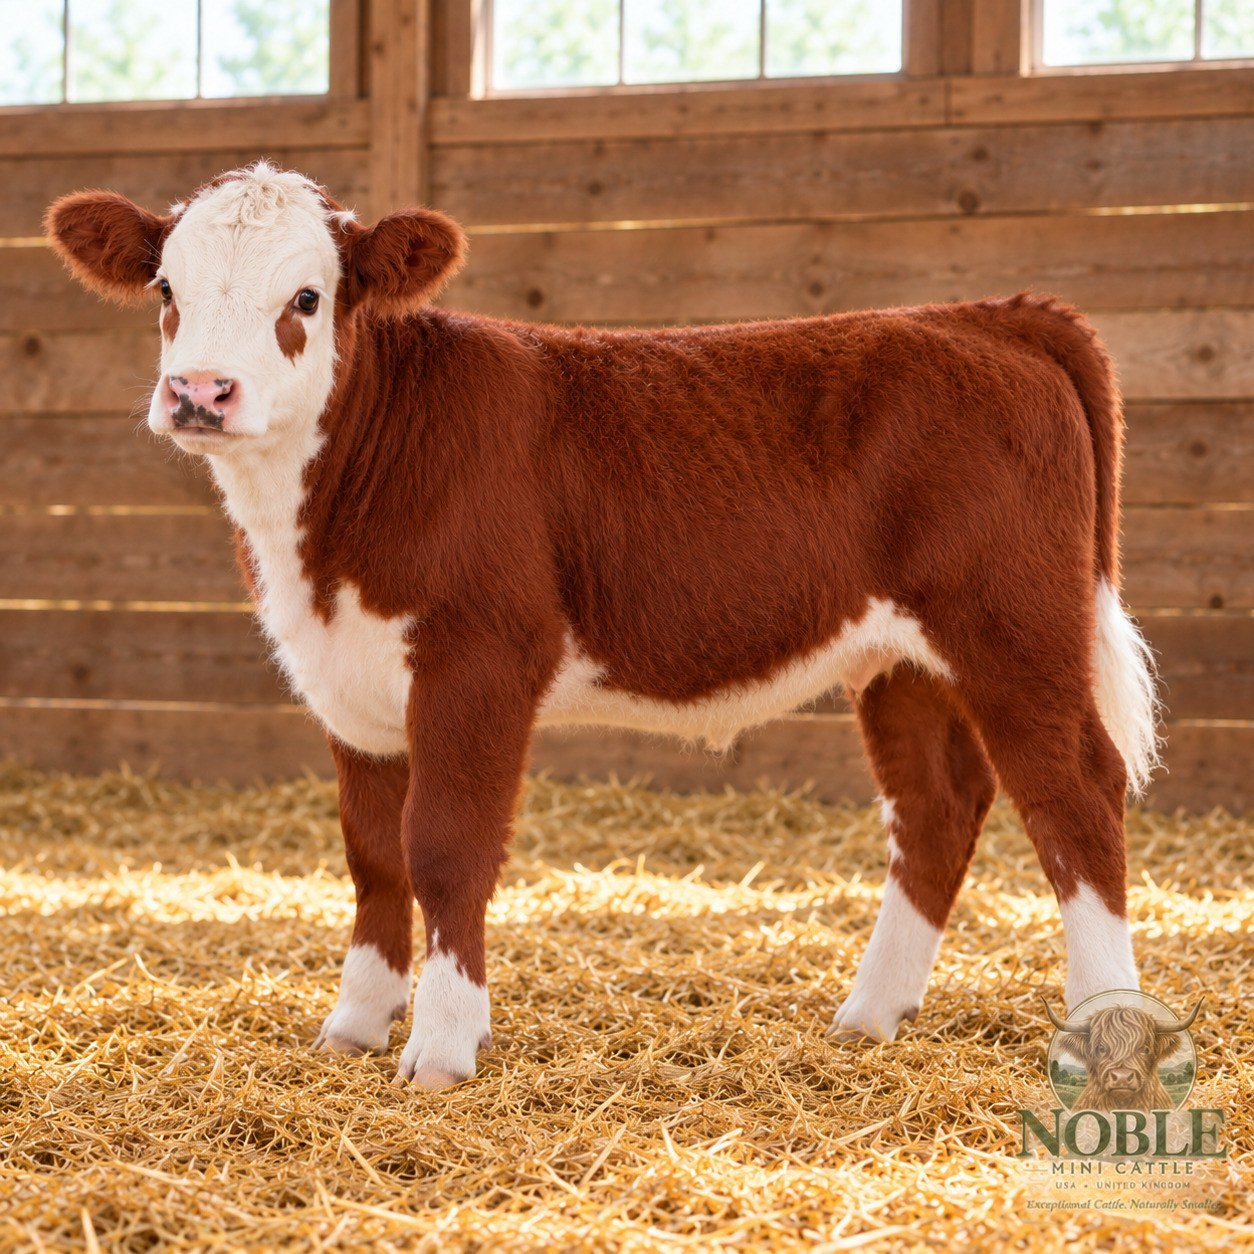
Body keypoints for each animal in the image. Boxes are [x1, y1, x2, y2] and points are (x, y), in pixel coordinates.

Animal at [46, 162, 1160, 1090]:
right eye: (166, 291)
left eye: (307, 298)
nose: (199, 392)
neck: (318, 538)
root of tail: (987, 314)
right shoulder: (344, 680)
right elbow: (371, 854)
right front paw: (353, 1026)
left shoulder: (479, 661)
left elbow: (444, 847)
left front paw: (441, 1048)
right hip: (898, 659)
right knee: (936, 805)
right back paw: (869, 1016)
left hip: (1015, 628)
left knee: (1075, 795)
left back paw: (1106, 1031)